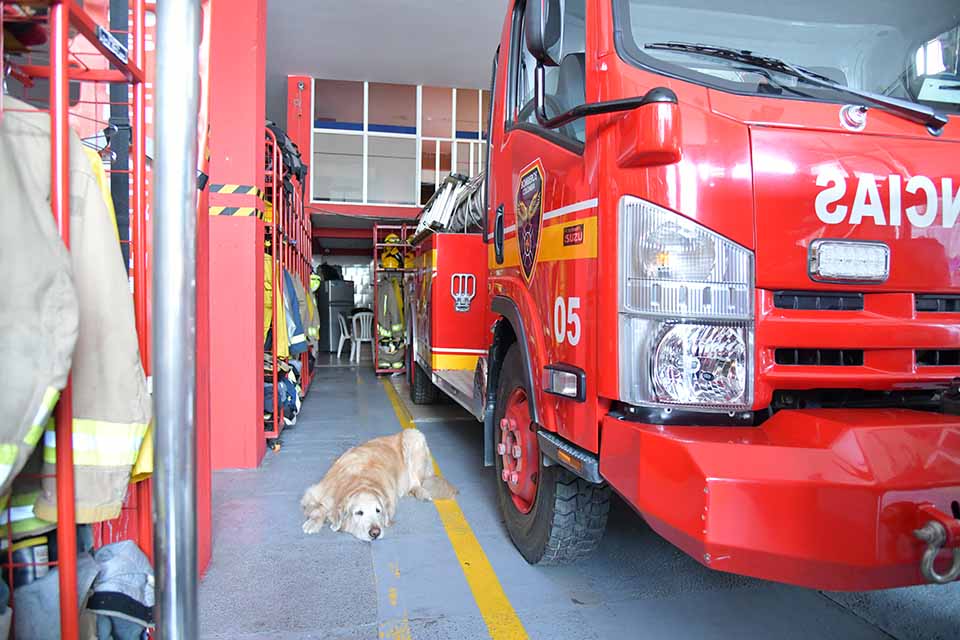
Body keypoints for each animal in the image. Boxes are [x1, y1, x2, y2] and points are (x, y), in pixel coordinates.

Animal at [300, 429, 457, 541]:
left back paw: (422, 493)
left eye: (378, 511)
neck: (360, 480)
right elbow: (318, 508)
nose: (375, 532)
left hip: (413, 436)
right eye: (359, 512)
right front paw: (313, 523)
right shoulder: (313, 492)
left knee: (417, 482)